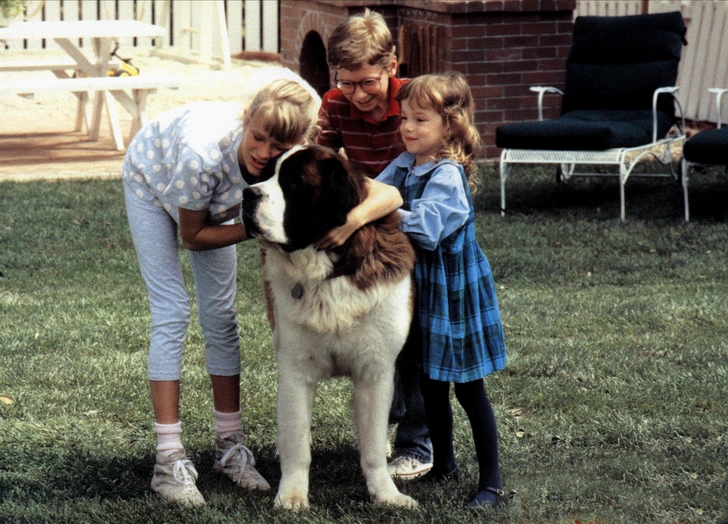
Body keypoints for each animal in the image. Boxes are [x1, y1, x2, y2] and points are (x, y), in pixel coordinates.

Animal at [243, 144, 418, 512]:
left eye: (293, 183)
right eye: (264, 174)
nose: (247, 194)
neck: (330, 272)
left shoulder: (376, 370)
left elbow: (372, 442)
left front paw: (386, 493)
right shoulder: (295, 370)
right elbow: (298, 442)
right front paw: (292, 495)